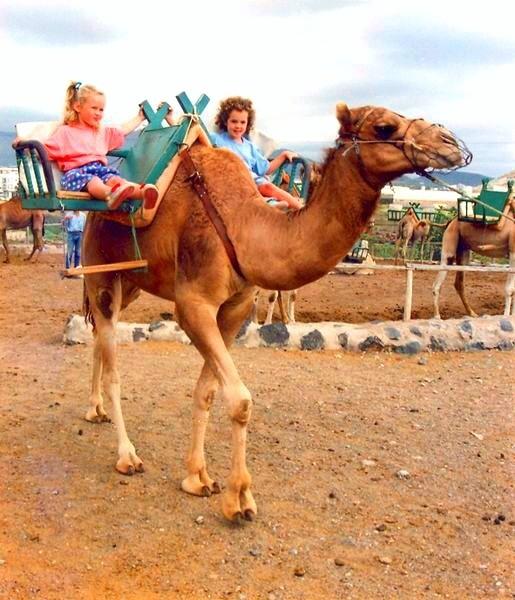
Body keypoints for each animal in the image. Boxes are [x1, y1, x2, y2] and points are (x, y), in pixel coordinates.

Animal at [81, 99, 472, 520]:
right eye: (384, 126)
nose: (452, 143)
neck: (242, 227)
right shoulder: (193, 305)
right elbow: (240, 400)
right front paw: (238, 498)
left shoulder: (234, 308)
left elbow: (207, 391)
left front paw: (197, 477)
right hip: (100, 271)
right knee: (112, 358)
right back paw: (126, 455)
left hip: (132, 282)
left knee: (99, 335)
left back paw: (95, 410)